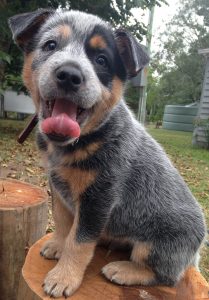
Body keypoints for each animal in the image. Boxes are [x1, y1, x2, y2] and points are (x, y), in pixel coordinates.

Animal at [9, 8, 206, 298]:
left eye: (101, 59)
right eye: (50, 45)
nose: (69, 74)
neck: (78, 143)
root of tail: (195, 254)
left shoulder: (99, 196)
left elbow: (79, 241)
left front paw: (63, 278)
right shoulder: (57, 185)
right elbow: (64, 222)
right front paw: (57, 245)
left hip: (160, 246)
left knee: (168, 276)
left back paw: (123, 270)